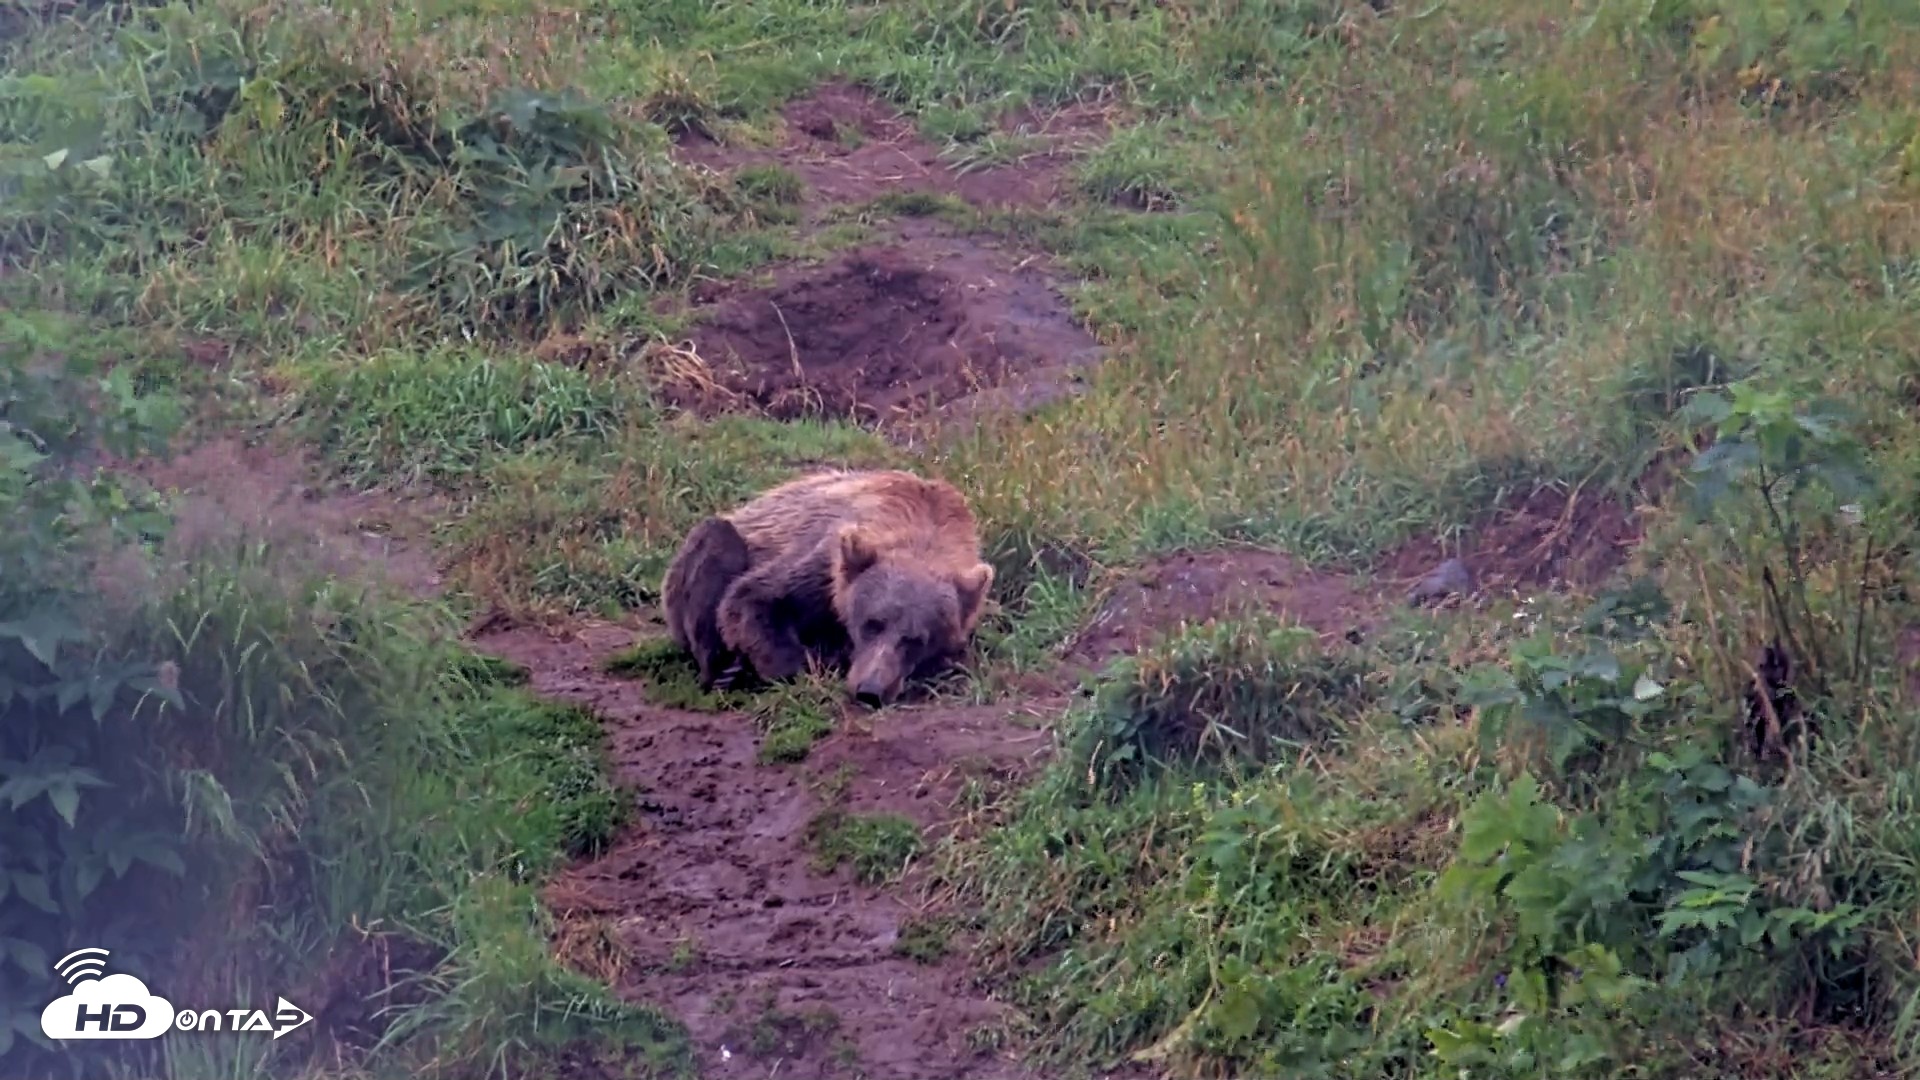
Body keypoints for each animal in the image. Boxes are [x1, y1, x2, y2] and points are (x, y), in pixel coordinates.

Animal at [659, 468, 995, 707]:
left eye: (916, 639)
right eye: (872, 624)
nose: (870, 691)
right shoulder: (825, 557)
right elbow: (752, 598)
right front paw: (807, 664)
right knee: (717, 543)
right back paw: (723, 671)